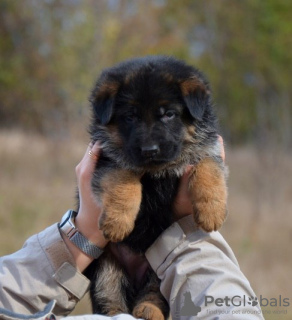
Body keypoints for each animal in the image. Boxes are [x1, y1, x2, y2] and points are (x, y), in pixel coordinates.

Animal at [85, 55, 227, 320]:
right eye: (130, 116)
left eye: (169, 114)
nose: (149, 150)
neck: (156, 170)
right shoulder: (109, 158)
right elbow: (124, 182)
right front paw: (117, 222)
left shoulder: (207, 148)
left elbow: (208, 169)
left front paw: (211, 212)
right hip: (107, 263)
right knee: (108, 293)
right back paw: (116, 313)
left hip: (157, 264)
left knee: (155, 291)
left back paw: (148, 309)